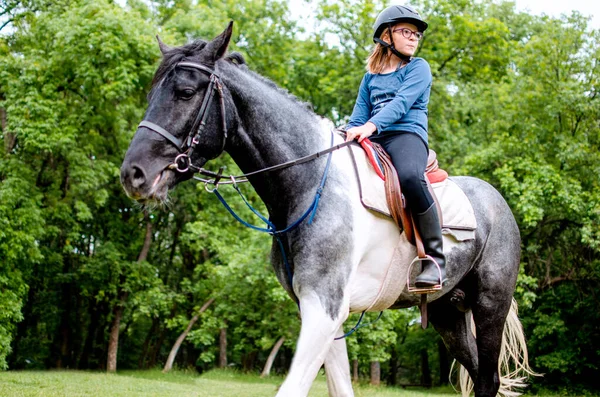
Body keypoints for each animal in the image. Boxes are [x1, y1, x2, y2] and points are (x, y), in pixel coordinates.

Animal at [119, 23, 532, 394]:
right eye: (152, 93)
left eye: (186, 92)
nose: (133, 174)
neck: (309, 182)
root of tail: (497, 201)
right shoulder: (319, 311)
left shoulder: (324, 306)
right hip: (448, 314)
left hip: (490, 306)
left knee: (488, 379)